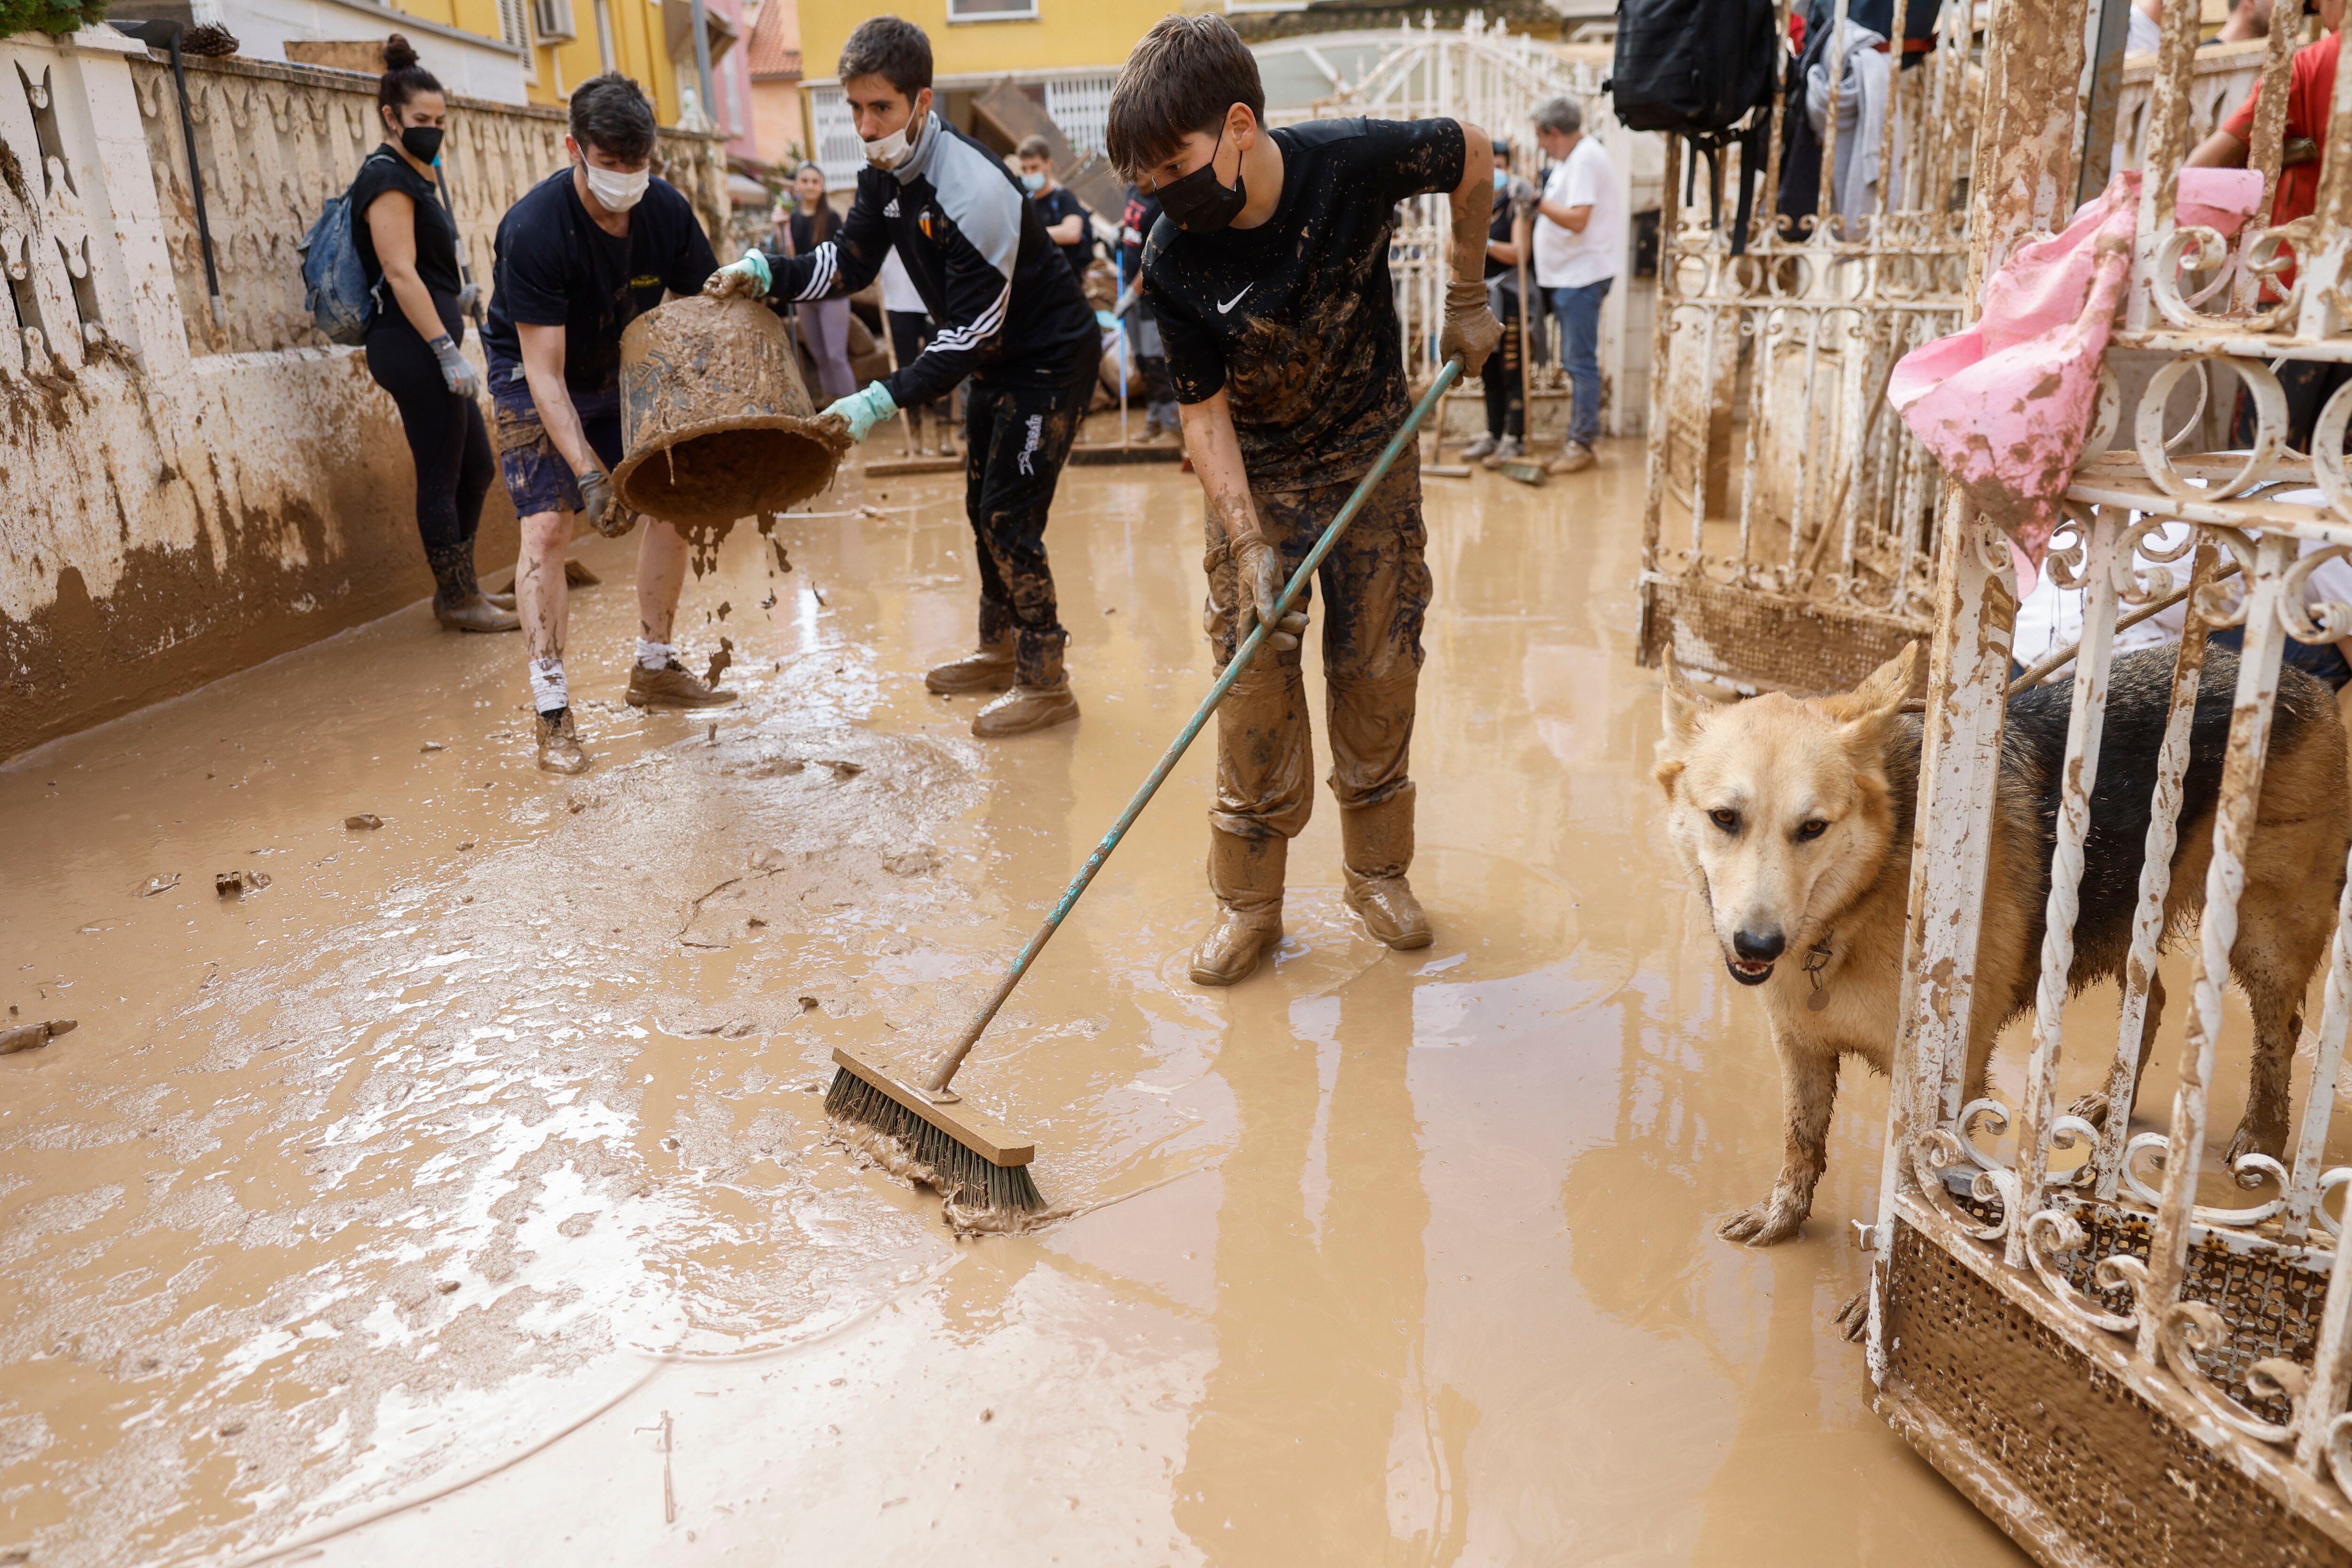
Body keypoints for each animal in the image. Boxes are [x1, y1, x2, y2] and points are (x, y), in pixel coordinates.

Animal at [1656, 639, 2352, 1250]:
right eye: (1725, 819)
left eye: (1812, 828)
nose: (1757, 944)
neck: (1868, 893)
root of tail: (2304, 682)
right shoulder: (1801, 1046)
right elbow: (1801, 1143)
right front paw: (1783, 1218)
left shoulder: (1946, 1081)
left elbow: (1916, 1186)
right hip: (2118, 916)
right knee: (2151, 1001)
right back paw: (2110, 1104)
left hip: (2260, 935)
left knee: (2280, 1029)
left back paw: (2259, 1138)